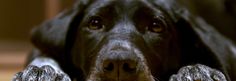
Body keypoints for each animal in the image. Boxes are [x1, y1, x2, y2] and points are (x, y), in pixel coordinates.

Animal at [13, 0, 236, 80]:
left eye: (156, 26)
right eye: (95, 23)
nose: (119, 64)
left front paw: (197, 71)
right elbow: (44, 56)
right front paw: (42, 71)